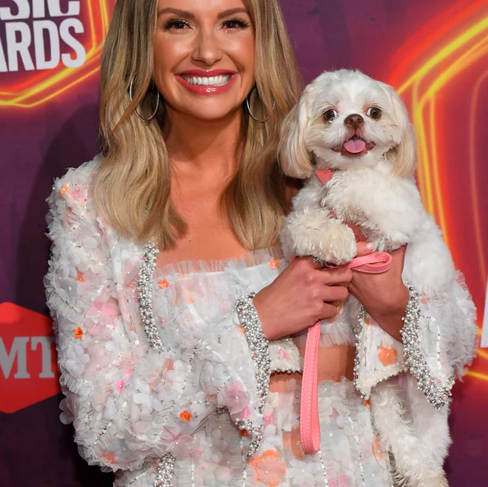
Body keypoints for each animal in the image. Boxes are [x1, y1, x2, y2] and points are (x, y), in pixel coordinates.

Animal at [278, 69, 477, 486]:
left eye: (373, 111)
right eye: (330, 114)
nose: (354, 120)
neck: (352, 168)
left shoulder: (397, 214)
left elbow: (362, 191)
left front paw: (343, 193)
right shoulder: (298, 223)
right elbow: (304, 226)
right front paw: (336, 239)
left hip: (426, 392)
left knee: (430, 442)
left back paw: (429, 476)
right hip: (381, 390)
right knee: (400, 434)